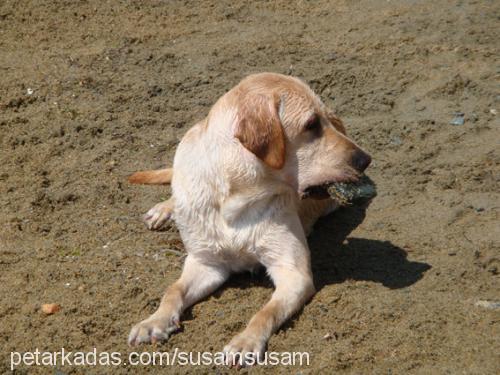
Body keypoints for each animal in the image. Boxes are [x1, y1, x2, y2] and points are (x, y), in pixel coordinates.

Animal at [127, 72, 370, 366]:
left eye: (325, 122)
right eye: (311, 124)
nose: (366, 159)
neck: (236, 201)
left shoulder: (293, 273)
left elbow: (265, 312)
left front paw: (245, 341)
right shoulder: (206, 263)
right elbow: (172, 290)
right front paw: (154, 321)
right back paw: (165, 208)